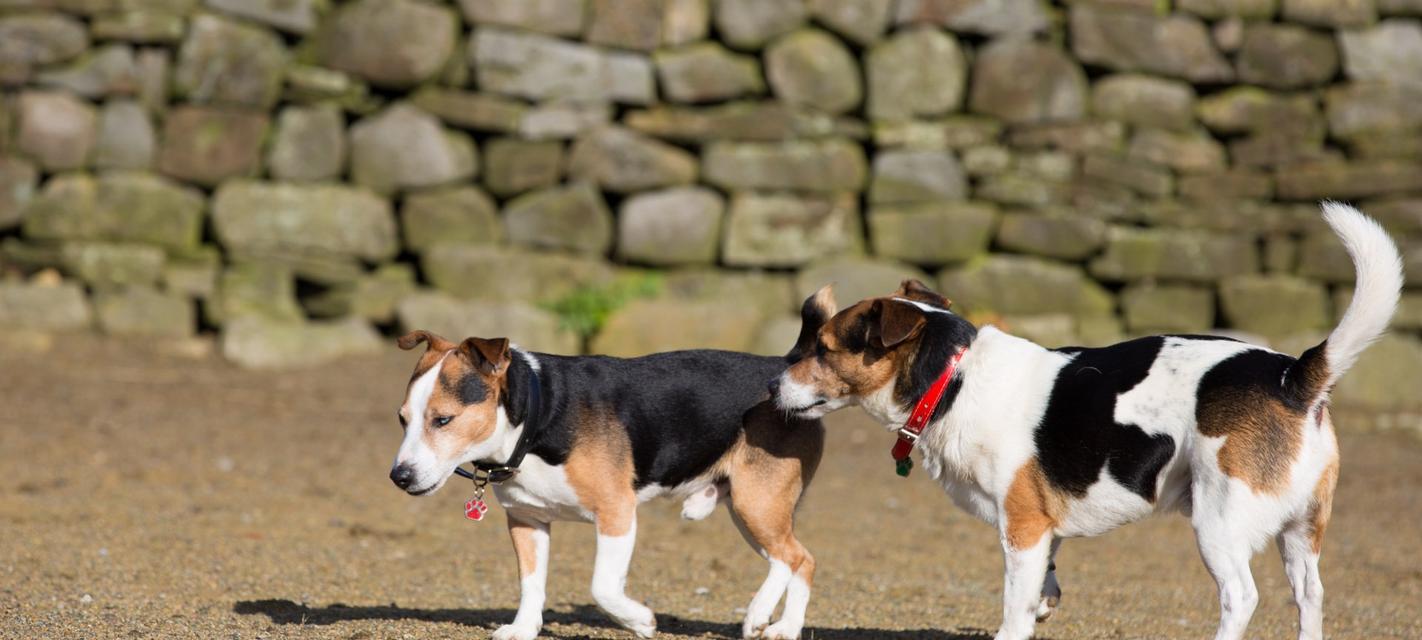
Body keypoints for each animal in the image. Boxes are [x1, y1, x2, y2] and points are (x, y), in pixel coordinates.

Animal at [395, 335, 830, 640]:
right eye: (402, 419)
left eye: (443, 420)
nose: (399, 476)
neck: (538, 415)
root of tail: (783, 368)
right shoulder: (526, 521)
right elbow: (531, 583)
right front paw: (524, 627)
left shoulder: (616, 512)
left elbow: (602, 587)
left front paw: (639, 620)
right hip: (752, 511)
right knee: (793, 561)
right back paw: (773, 621)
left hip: (756, 503)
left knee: (797, 559)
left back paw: (770, 620)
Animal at [767, 203, 1399, 640]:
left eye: (823, 347)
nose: (771, 384)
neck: (953, 378)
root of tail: (1294, 375)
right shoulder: (1044, 530)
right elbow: (1042, 585)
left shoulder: (1021, 527)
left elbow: (1013, 604)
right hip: (1301, 533)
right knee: (1310, 597)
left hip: (1220, 522)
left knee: (1241, 598)